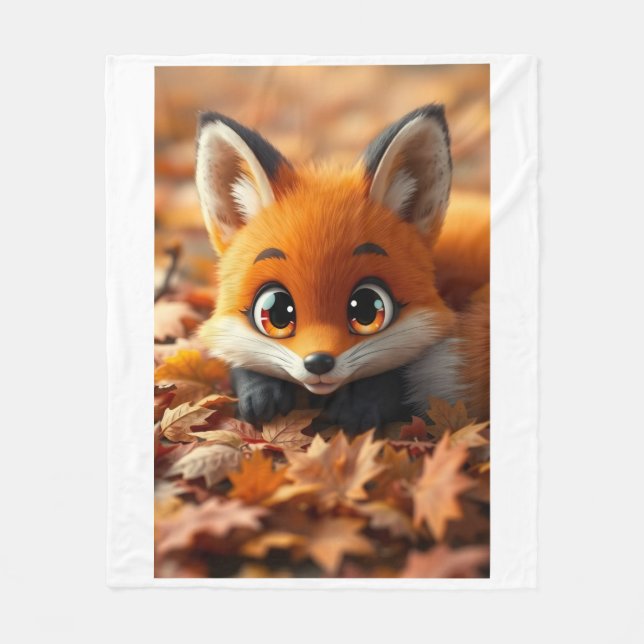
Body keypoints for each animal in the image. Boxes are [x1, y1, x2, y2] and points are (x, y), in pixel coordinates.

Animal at [195, 105, 489, 433]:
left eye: (367, 309)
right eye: (276, 312)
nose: (319, 362)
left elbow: (394, 378)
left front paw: (361, 406)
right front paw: (260, 393)